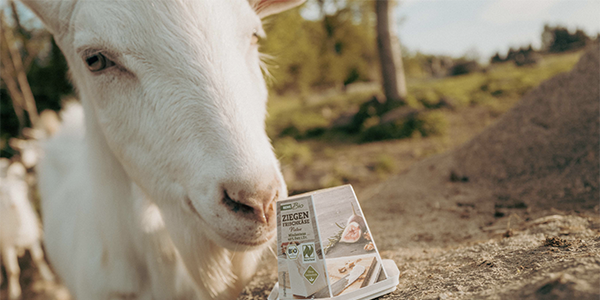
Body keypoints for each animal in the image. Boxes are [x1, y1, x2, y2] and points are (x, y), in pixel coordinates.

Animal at [0, 162, 54, 300]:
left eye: (22, 189)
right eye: (4, 193)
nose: (14, 204)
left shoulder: (33, 238)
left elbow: (39, 257)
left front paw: (47, 276)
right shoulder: (7, 245)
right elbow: (13, 271)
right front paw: (14, 292)